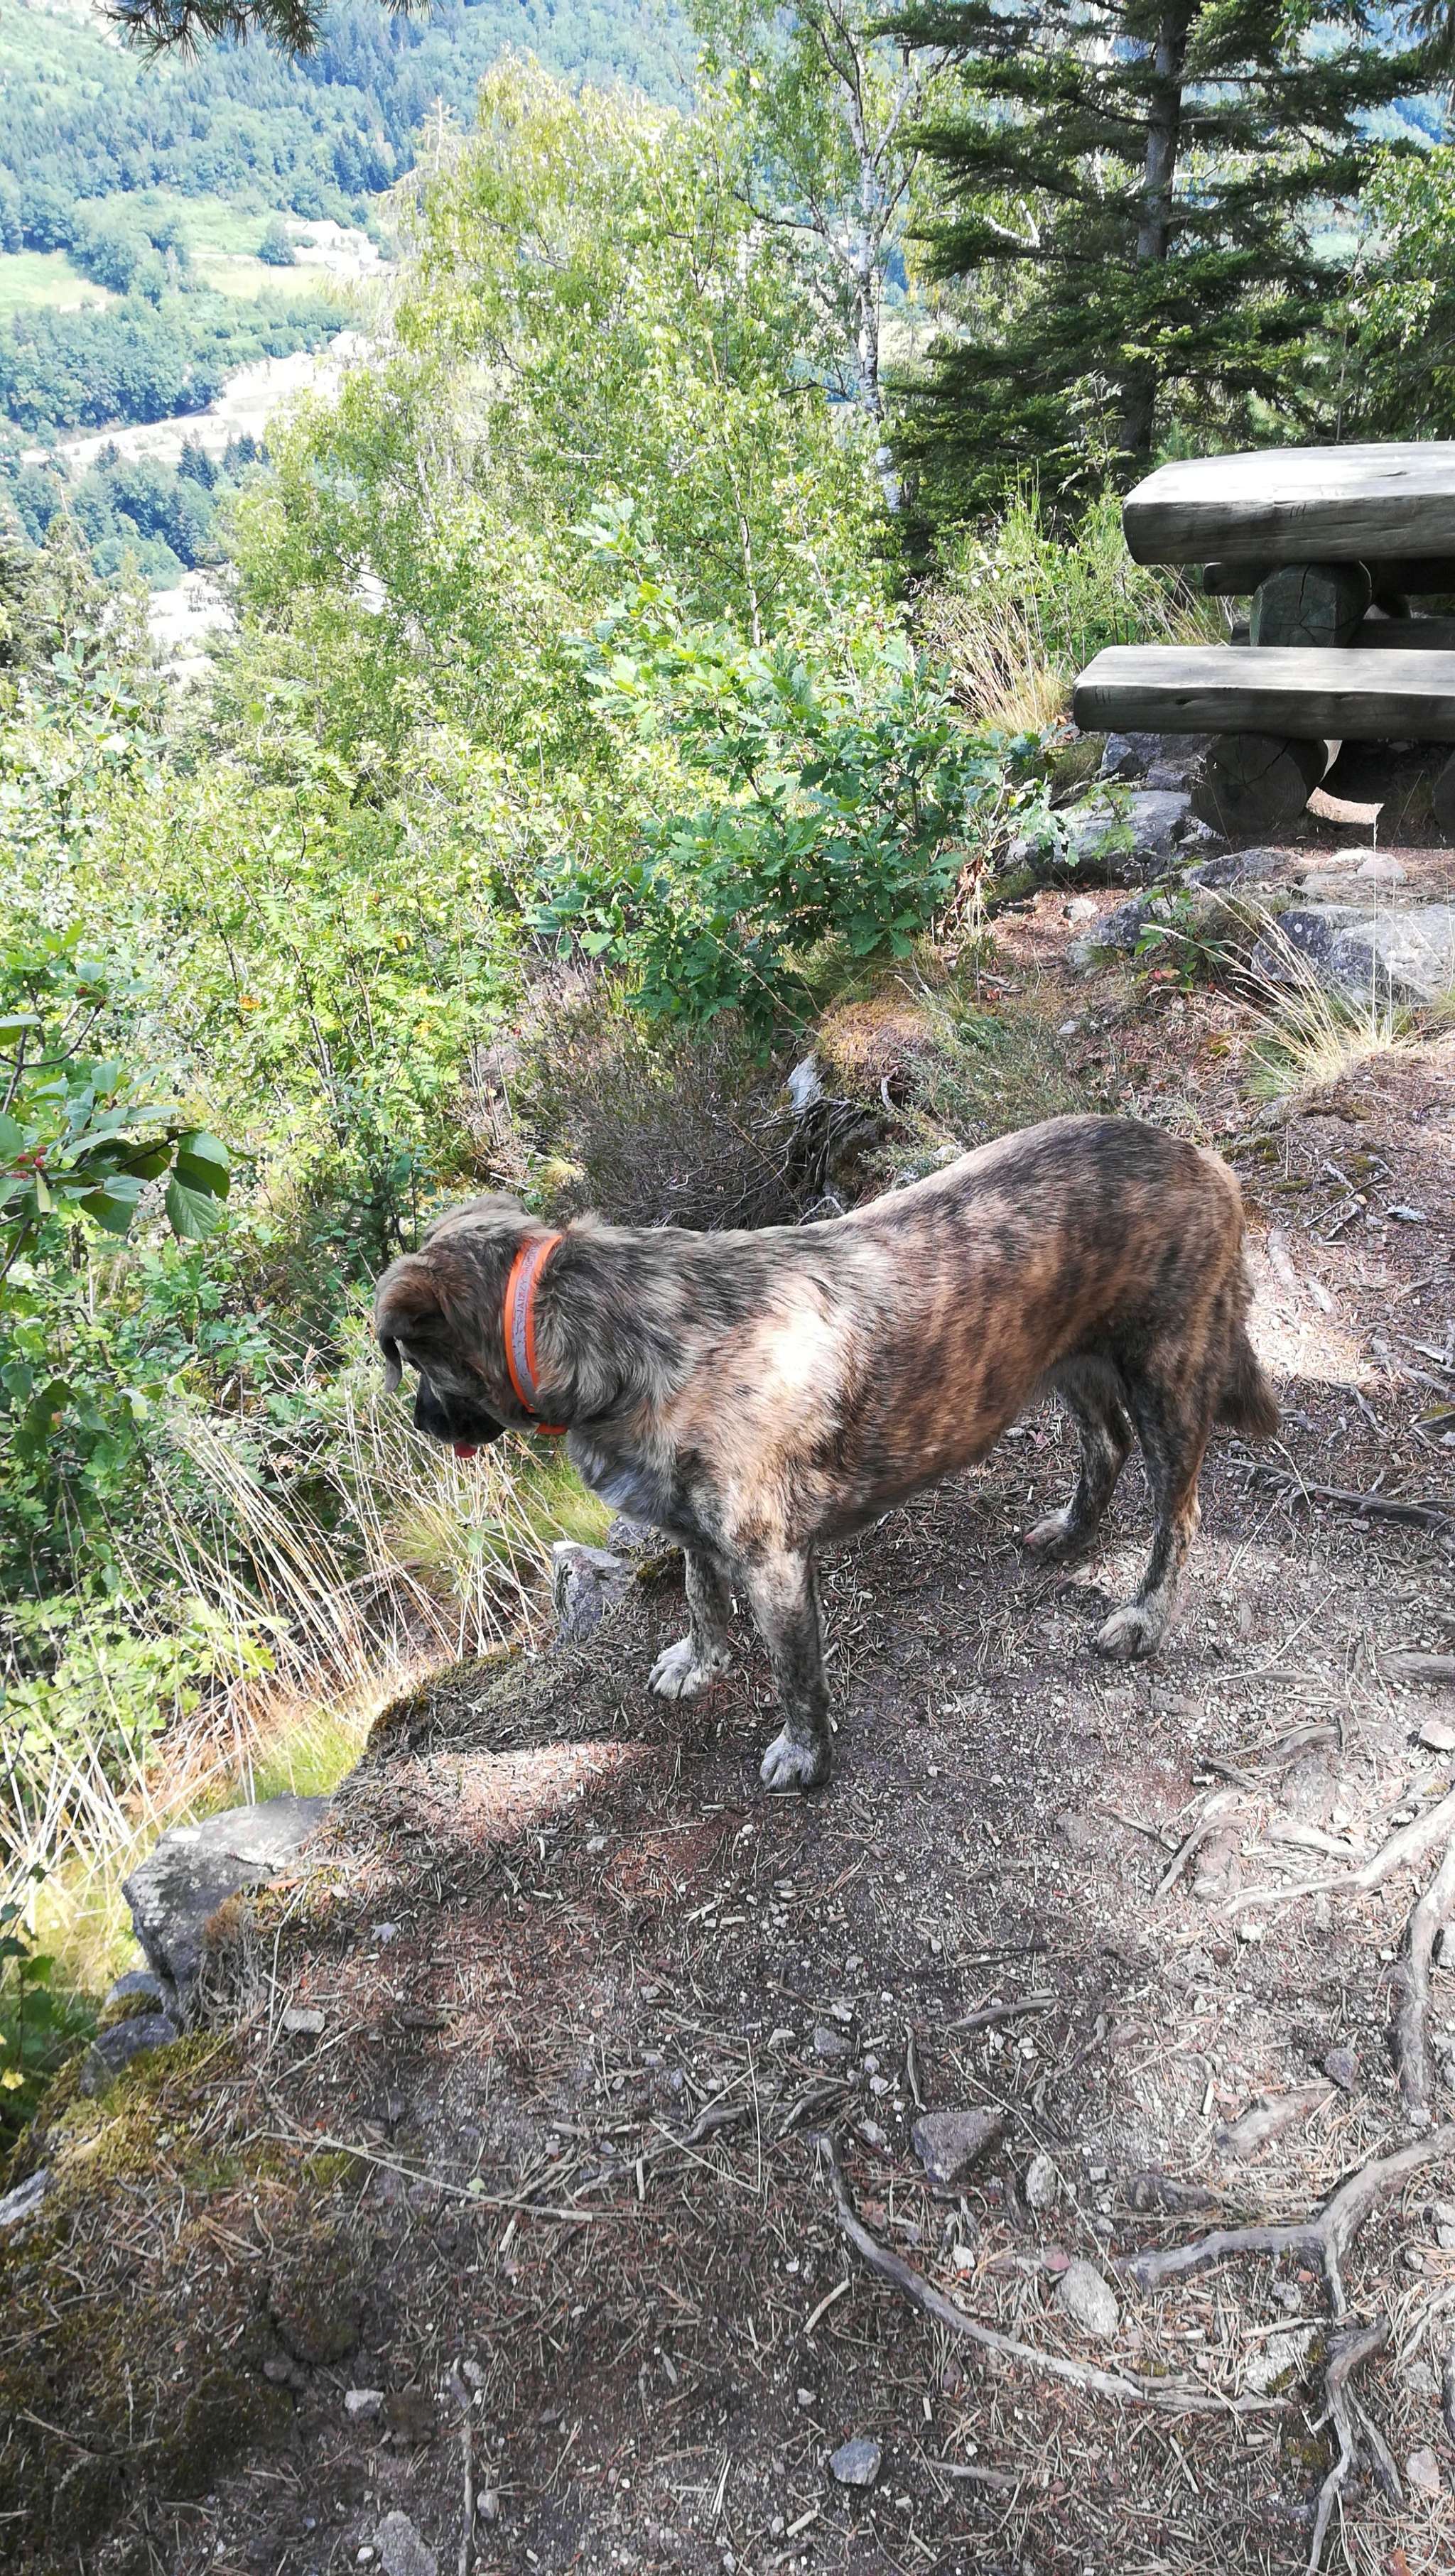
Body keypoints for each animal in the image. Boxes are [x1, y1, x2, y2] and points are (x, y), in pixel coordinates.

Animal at [374, 1114, 1278, 1791]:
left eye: (414, 1365)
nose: (419, 1422)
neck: (608, 1333)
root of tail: (1202, 1160)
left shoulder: (772, 1561)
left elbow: (793, 1672)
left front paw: (804, 1752)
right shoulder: (693, 1525)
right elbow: (700, 1594)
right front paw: (701, 1660)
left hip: (1165, 1378)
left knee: (1177, 1512)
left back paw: (1143, 1615)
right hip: (1066, 1359)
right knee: (1104, 1444)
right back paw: (1072, 1531)